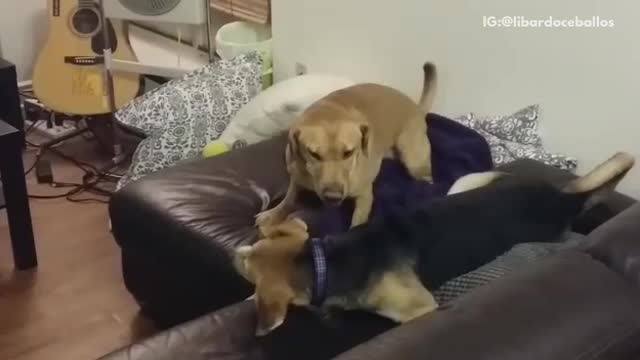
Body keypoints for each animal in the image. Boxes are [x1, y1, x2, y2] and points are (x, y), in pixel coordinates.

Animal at [258, 62, 438, 228]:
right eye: (313, 154)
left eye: (349, 152)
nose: (333, 196)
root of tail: (416, 107)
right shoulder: (296, 178)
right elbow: (289, 199)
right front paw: (273, 214)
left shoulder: (365, 196)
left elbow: (356, 225)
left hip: (414, 161)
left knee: (427, 181)